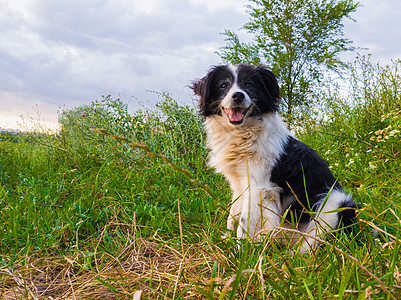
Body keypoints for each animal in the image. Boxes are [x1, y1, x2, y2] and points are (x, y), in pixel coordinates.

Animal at [191, 63, 356, 253]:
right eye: (223, 85)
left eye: (249, 85)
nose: (238, 96)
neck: (242, 134)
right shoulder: (238, 182)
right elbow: (233, 214)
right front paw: (228, 239)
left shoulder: (259, 187)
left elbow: (244, 220)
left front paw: (239, 251)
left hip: (337, 203)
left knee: (314, 241)